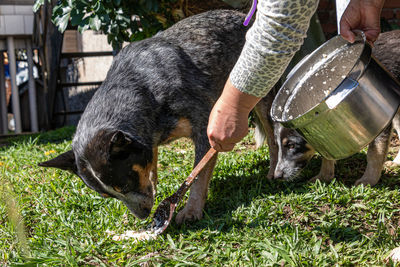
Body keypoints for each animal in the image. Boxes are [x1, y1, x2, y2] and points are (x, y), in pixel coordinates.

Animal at [39, 9, 280, 224]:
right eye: (107, 196)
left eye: (124, 186)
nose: (144, 216)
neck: (145, 90)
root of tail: (244, 16)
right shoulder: (147, 139)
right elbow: (151, 166)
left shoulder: (206, 128)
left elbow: (198, 175)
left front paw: (191, 211)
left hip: (260, 93)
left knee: (272, 136)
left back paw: (274, 171)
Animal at [264, 30, 400, 186]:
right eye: (278, 146)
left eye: (292, 145)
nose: (277, 176)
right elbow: (327, 156)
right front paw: (324, 177)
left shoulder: (381, 124)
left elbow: (374, 153)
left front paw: (368, 181)